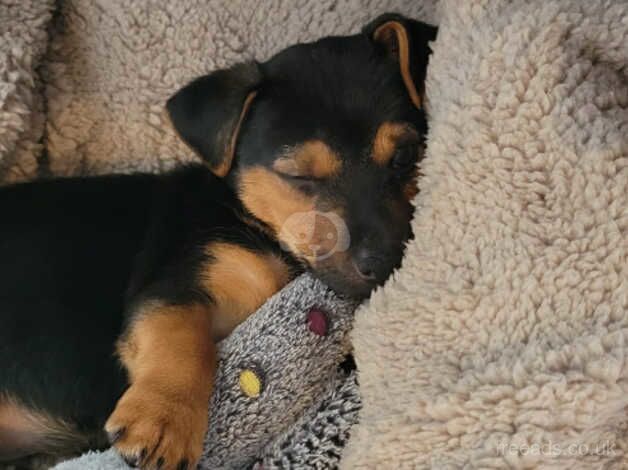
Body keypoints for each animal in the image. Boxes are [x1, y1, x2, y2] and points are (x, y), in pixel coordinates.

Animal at [0, 13, 436, 470]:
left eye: (406, 156)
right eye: (299, 176)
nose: (387, 263)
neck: (269, 238)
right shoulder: (176, 281)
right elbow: (181, 338)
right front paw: (163, 421)